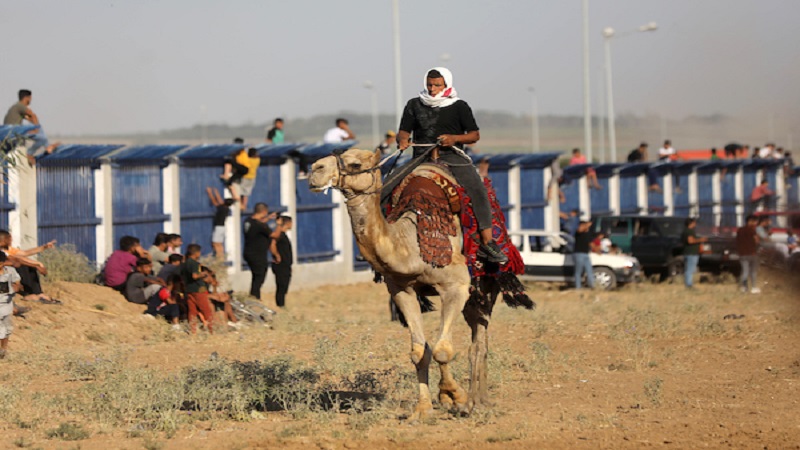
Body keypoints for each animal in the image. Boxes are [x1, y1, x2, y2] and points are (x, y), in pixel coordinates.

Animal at [308, 147, 533, 419]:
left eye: (355, 164)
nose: (315, 169)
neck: (412, 244)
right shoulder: (402, 290)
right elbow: (419, 352)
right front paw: (423, 408)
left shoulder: (455, 286)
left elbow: (442, 350)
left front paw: (453, 396)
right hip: (472, 296)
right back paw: (480, 399)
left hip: (487, 285)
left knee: (478, 343)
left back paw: (475, 402)